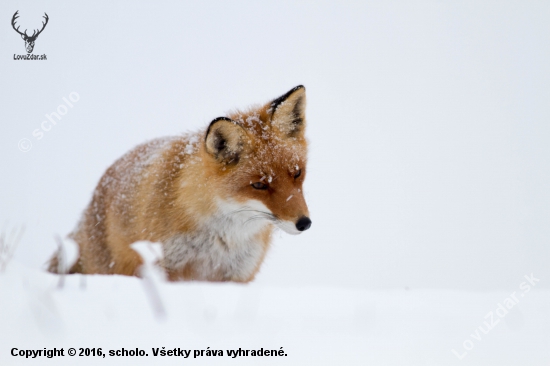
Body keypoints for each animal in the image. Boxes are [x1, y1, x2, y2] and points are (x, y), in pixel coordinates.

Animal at [49, 86, 312, 284]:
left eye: (297, 173)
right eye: (259, 185)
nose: (304, 223)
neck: (221, 235)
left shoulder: (237, 274)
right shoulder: (164, 266)